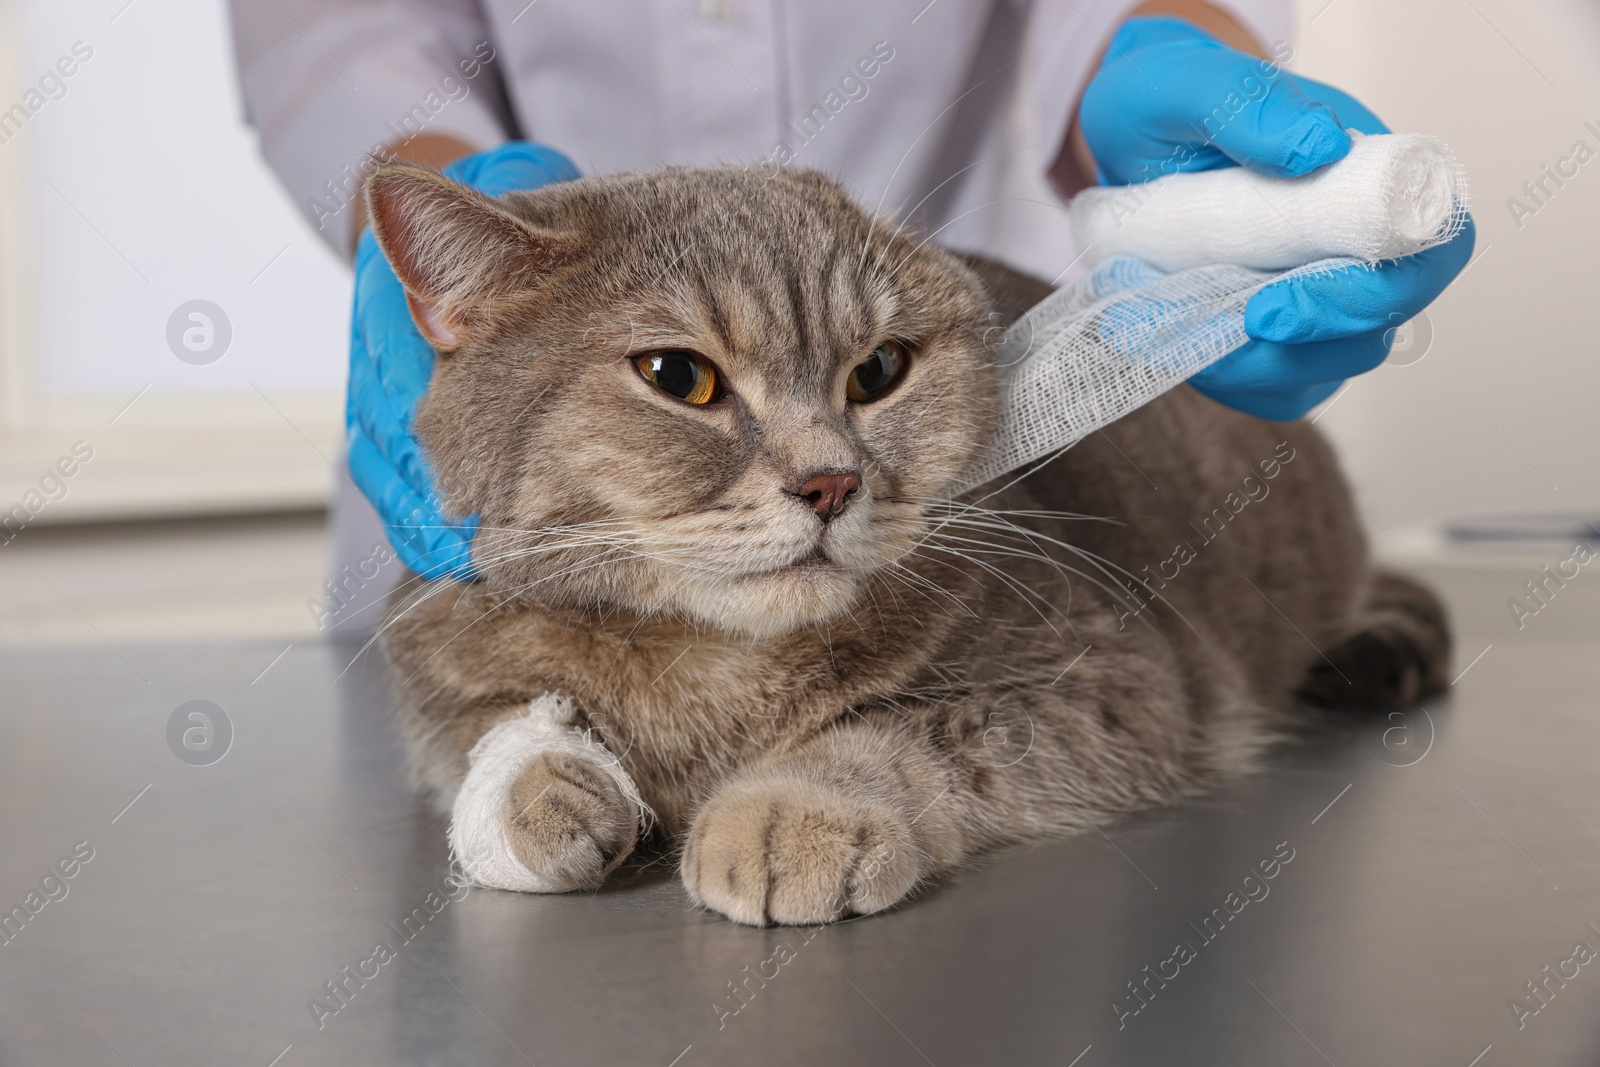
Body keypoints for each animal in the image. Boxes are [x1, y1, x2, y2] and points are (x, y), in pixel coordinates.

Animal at [366, 158, 1452, 927]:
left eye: (878, 370)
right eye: (678, 377)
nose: (830, 481)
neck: (715, 671)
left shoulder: (1114, 679)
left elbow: (897, 731)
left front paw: (793, 809)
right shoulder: (432, 666)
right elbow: (494, 730)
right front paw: (542, 781)